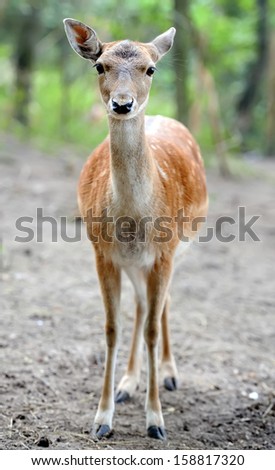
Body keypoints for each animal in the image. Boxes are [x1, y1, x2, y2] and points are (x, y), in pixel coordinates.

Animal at [64, 19, 207, 440]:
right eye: (100, 66)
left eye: (151, 69)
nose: (123, 104)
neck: (132, 218)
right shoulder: (103, 253)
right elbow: (112, 327)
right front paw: (102, 419)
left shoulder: (165, 253)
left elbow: (153, 331)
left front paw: (156, 421)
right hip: (133, 263)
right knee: (143, 307)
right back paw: (128, 383)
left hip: (182, 246)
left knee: (160, 307)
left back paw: (170, 375)